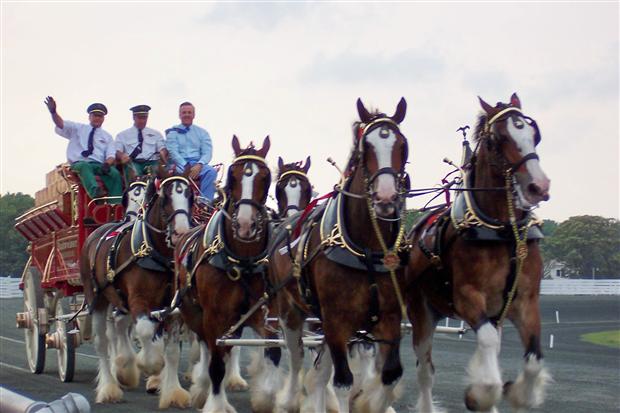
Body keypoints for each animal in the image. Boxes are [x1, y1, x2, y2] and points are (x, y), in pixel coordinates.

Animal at [78, 171, 194, 406]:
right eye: (165, 197)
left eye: (190, 196)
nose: (181, 233)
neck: (157, 256)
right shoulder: (138, 300)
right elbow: (145, 331)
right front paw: (150, 364)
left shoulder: (173, 307)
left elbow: (172, 350)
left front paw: (172, 391)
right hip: (97, 298)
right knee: (103, 342)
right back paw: (109, 387)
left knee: (120, 326)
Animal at [174, 136, 280, 412]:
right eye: (233, 175)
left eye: (265, 176)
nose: (244, 225)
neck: (242, 261)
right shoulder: (214, 314)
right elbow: (216, 363)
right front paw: (216, 402)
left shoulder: (263, 313)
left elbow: (273, 351)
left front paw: (267, 397)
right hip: (192, 310)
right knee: (205, 344)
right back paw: (201, 385)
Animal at [268, 97, 410, 412]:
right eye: (364, 148)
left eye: (402, 145)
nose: (385, 198)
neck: (366, 249)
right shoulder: (335, 322)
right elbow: (343, 381)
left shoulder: (389, 318)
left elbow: (390, 376)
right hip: (290, 310)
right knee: (297, 358)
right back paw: (289, 399)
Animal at [406, 93, 552, 412]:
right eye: (498, 139)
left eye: (534, 134)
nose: (538, 186)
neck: (503, 232)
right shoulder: (467, 297)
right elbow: (486, 341)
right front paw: (479, 394)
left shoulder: (525, 301)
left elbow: (533, 360)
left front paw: (517, 394)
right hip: (421, 311)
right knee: (425, 371)